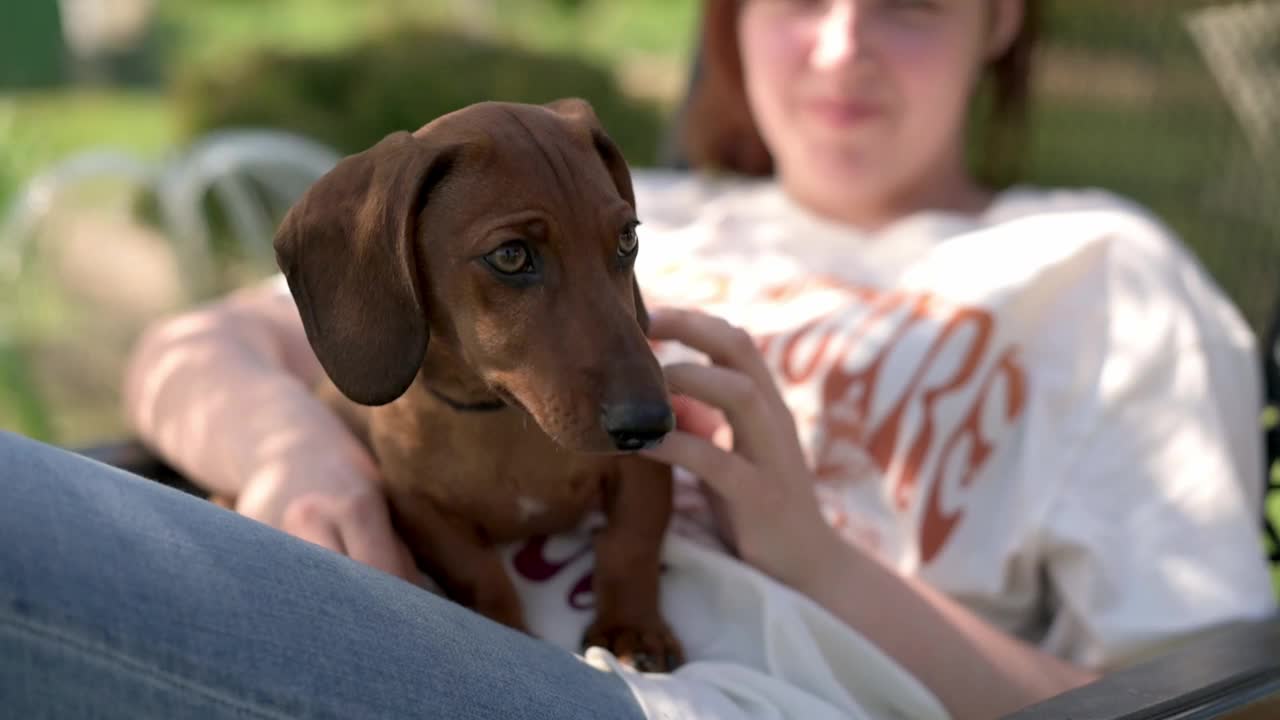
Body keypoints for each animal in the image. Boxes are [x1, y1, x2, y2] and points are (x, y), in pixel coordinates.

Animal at [275, 98, 686, 671]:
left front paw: (634, 628)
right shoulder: (417, 507)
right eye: (511, 256)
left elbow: (631, 541)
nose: (650, 424)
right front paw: (506, 631)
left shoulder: (644, 473)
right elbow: (477, 572)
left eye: (628, 238)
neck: (501, 420)